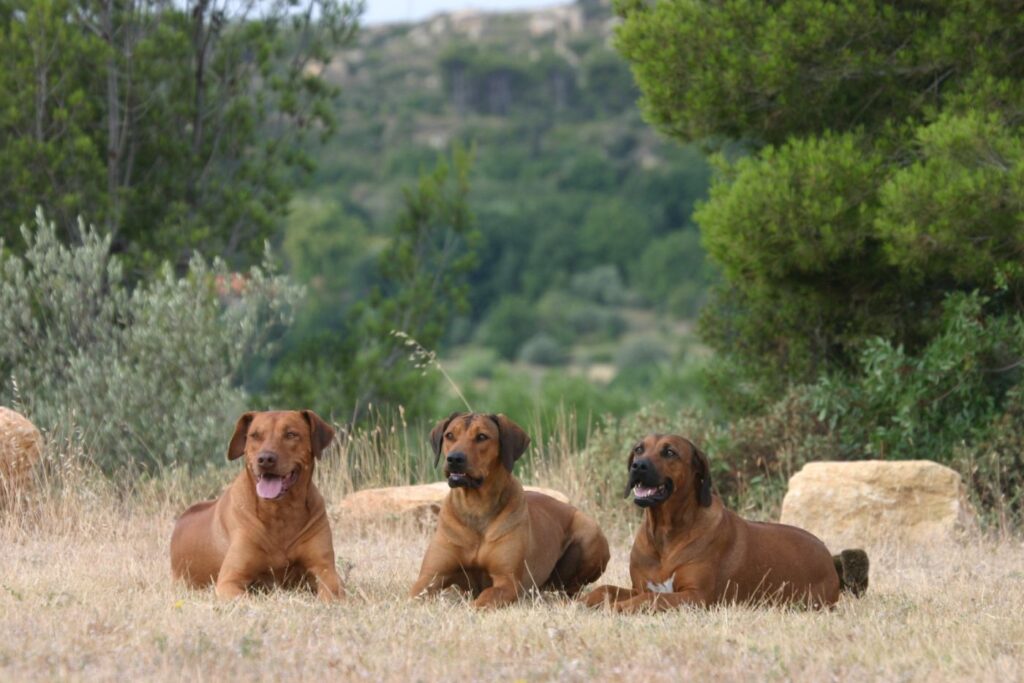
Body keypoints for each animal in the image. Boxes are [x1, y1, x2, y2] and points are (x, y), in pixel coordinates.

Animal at [168, 409, 344, 602]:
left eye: (291, 434)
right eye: (255, 436)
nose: (265, 459)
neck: (281, 512)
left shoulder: (325, 568)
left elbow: (332, 590)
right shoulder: (229, 580)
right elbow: (249, 597)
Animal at [411, 411, 610, 610]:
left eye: (482, 437)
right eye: (450, 435)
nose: (454, 458)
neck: (476, 507)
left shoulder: (507, 582)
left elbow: (484, 598)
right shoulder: (429, 577)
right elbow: (416, 593)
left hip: (590, 532)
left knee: (573, 588)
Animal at [581, 438, 868, 614]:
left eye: (669, 452)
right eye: (639, 449)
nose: (637, 466)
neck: (665, 531)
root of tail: (828, 556)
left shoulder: (696, 597)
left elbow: (651, 598)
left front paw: (620, 608)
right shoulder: (640, 586)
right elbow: (605, 589)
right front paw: (585, 600)